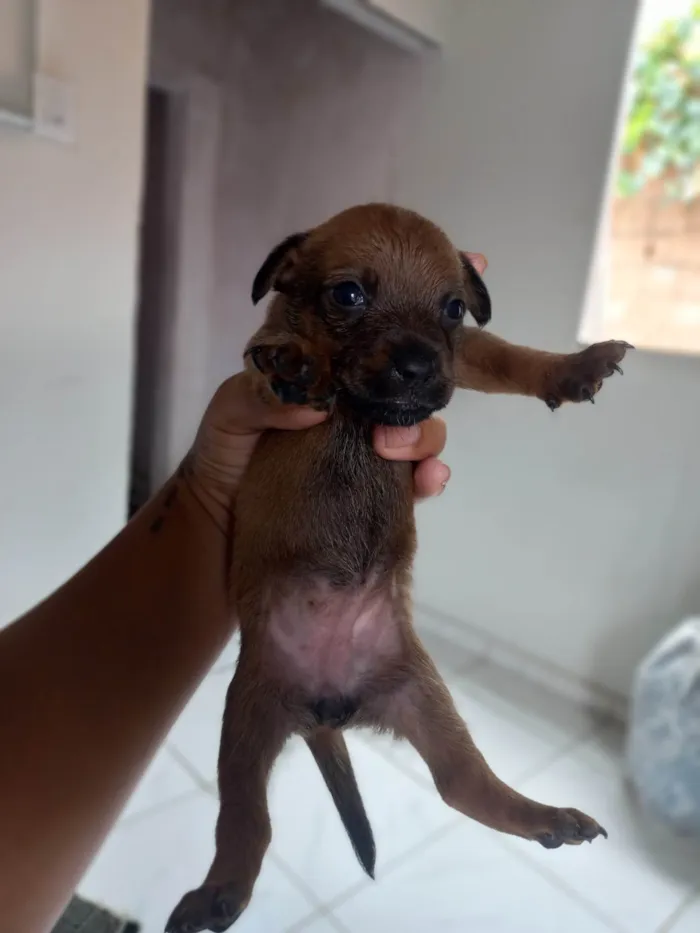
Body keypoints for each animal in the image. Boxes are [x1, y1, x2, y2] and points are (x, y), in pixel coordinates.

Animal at [167, 206, 632, 932]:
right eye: (349, 294)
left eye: (453, 307)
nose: (416, 366)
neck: (360, 409)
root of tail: (329, 708)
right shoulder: (256, 361)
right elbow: (278, 353)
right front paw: (301, 363)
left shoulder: (462, 353)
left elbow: (508, 356)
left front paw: (570, 368)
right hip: (244, 721)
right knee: (246, 822)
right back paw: (216, 894)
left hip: (422, 697)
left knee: (462, 784)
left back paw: (546, 817)